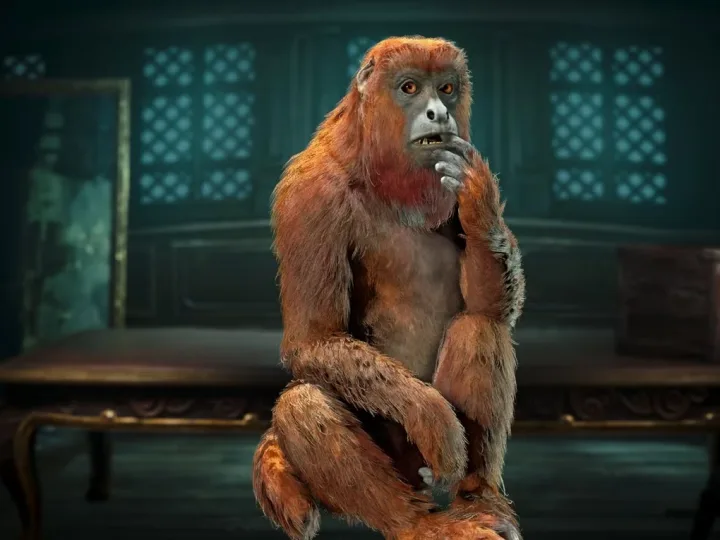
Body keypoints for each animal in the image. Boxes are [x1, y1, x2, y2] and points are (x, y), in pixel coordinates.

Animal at [252, 36, 525, 540]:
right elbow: (313, 339)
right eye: (410, 87)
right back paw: (416, 522)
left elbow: (490, 303)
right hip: (404, 466)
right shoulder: (309, 196)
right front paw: (433, 418)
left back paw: (478, 497)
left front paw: (478, 198)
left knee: (480, 325)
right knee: (303, 403)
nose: (439, 112)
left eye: (447, 88)